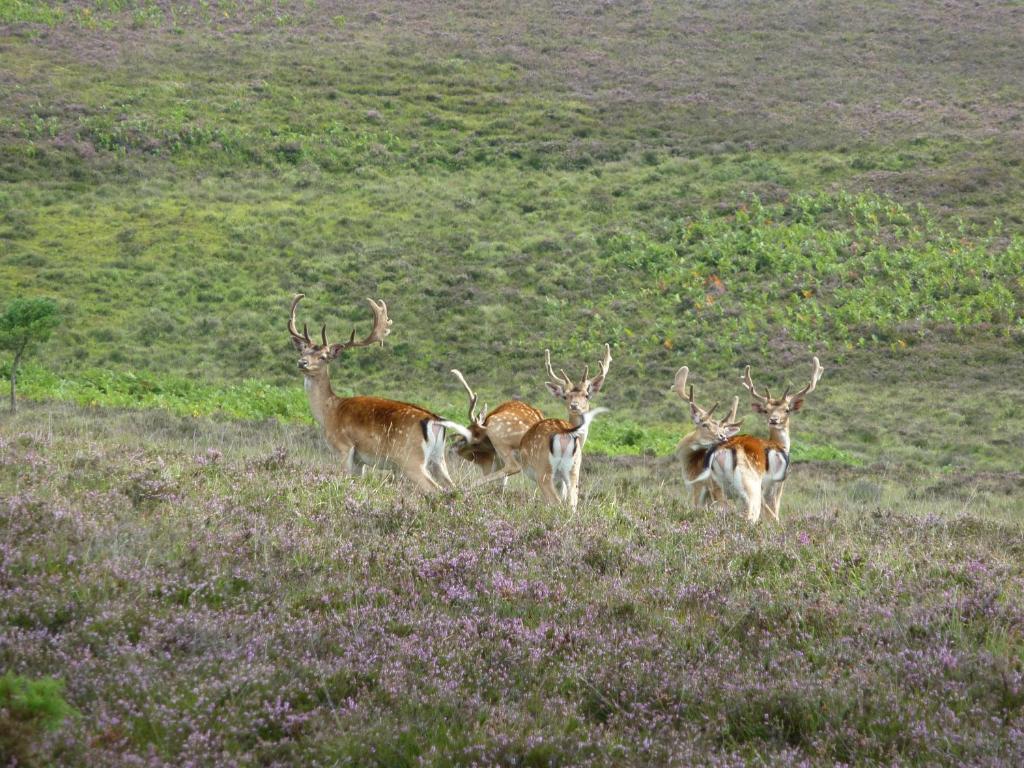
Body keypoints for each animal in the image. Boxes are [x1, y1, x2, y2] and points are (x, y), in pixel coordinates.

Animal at [286, 290, 466, 495]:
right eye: (303, 351)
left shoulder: (343, 447)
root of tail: (436, 421)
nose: (302, 363)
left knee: (434, 489)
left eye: (323, 356)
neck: (328, 413)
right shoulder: (359, 460)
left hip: (410, 459)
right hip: (439, 459)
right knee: (453, 487)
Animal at [692, 358, 827, 528]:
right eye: (766, 410)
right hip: (750, 483)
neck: (780, 445)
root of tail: (722, 452)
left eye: (787, 410)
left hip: (715, 484)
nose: (774, 420)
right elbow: (774, 510)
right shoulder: (776, 483)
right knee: (750, 515)